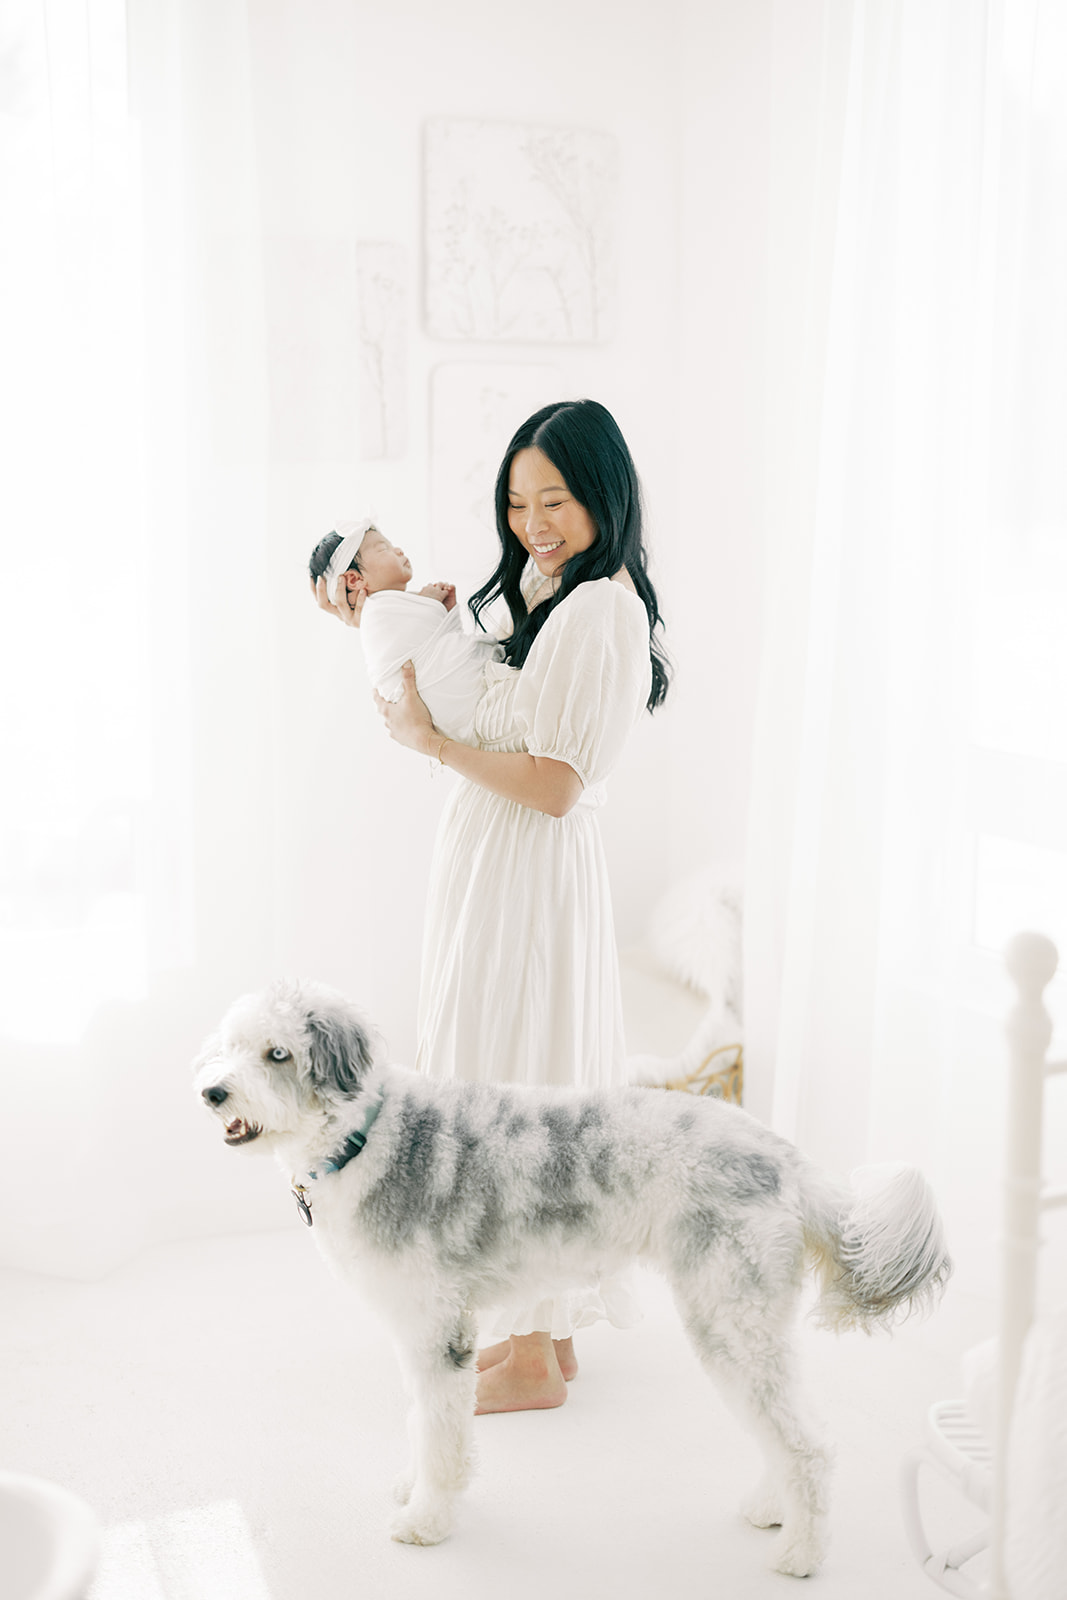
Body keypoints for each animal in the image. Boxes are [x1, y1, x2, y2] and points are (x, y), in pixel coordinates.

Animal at [191, 972, 953, 1574]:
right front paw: (414, 1488)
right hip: (745, 1325)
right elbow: (421, 1423)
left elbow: (441, 1437)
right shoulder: (418, 1333)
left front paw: (426, 1522)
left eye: (278, 1053)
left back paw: (800, 1555)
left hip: (729, 1319)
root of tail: (784, 1156)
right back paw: (773, 1510)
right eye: (232, 1044)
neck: (364, 1135)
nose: (212, 1093)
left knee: (807, 1445)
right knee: (784, 1432)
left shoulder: (437, 1332)